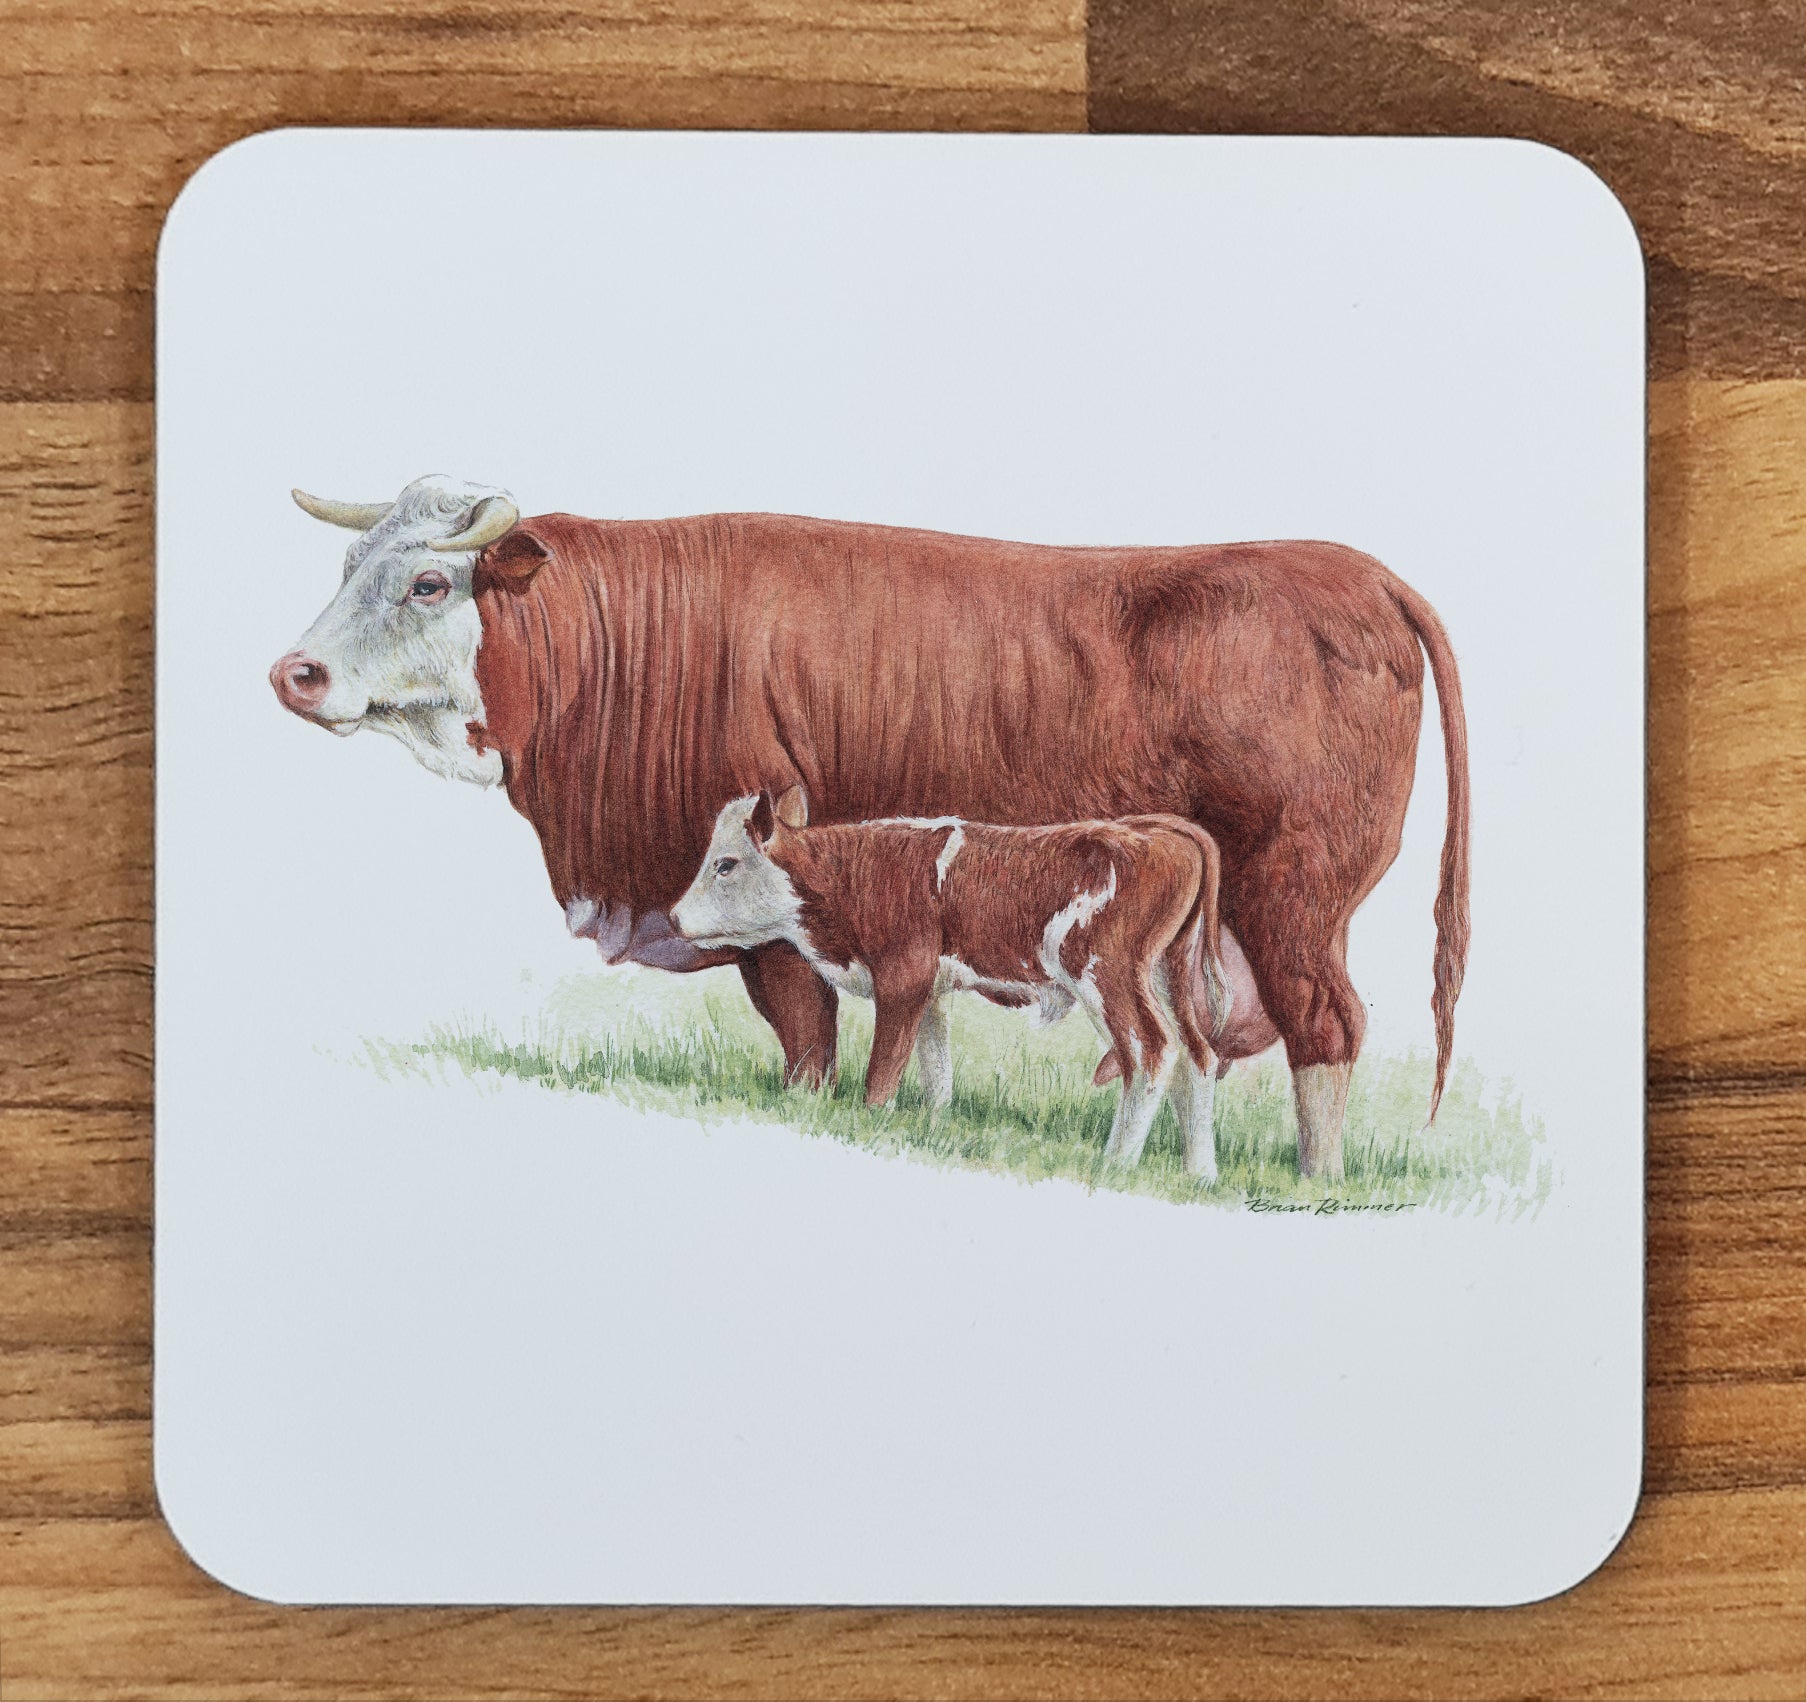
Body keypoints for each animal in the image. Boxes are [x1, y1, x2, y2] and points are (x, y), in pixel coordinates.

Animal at [671, 789, 1232, 1178]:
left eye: (725, 863)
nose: (674, 917)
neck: (855, 874)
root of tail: (1159, 829)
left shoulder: (902, 976)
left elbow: (883, 1073)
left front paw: (873, 1127)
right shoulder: (931, 990)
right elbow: (935, 1069)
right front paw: (931, 1132)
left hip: (1105, 972)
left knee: (1152, 1050)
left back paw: (1114, 1165)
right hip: (1167, 973)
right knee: (1197, 1056)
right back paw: (1199, 1174)